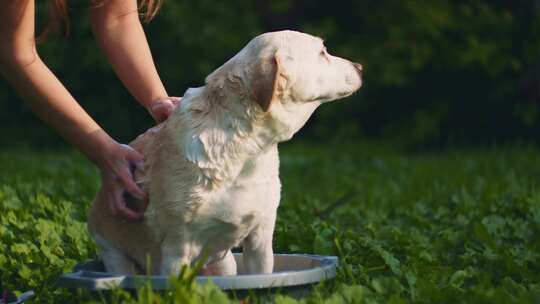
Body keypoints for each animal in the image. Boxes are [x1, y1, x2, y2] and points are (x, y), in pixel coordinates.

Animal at [87, 30, 362, 276]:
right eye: (323, 53)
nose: (360, 66)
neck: (248, 152)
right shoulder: (177, 250)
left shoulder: (260, 241)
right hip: (114, 254)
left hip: (225, 264)